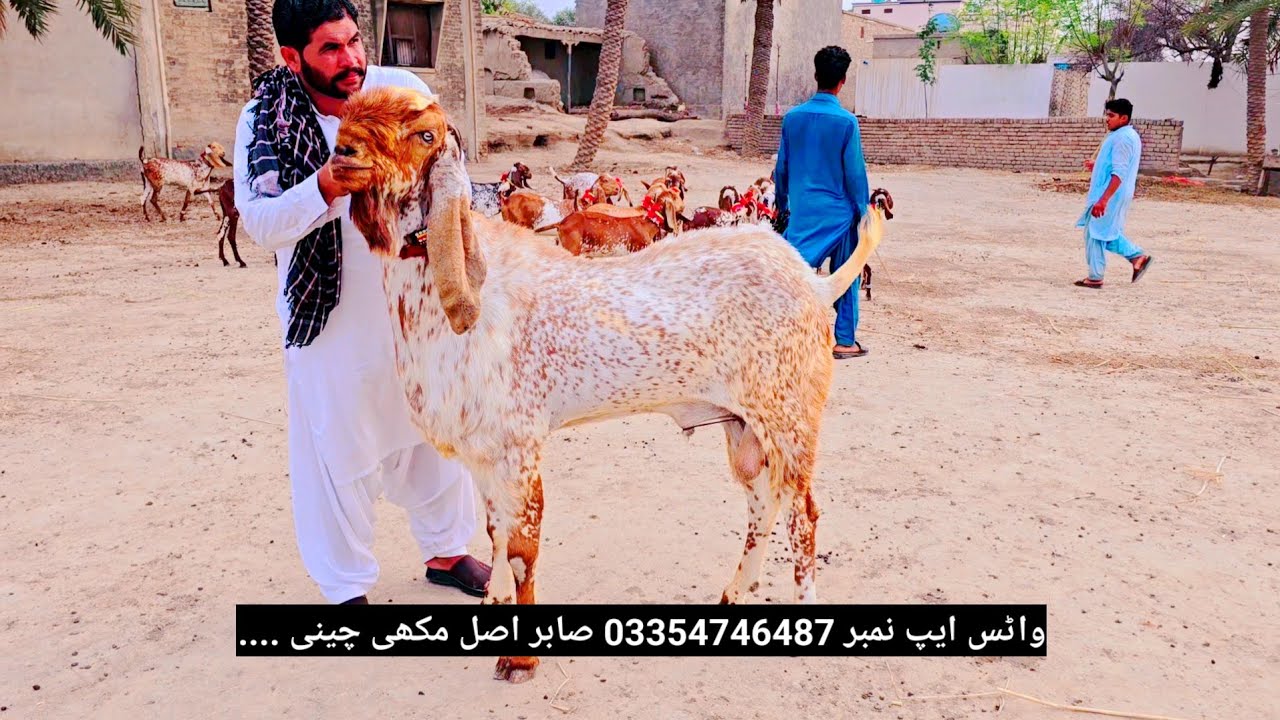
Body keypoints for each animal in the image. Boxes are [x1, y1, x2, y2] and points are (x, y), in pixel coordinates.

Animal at [328, 86, 885, 683]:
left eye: (424, 134)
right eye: (347, 118)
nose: (343, 154)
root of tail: (815, 283)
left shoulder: (520, 442)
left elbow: (521, 546)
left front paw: (519, 659)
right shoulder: (484, 449)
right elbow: (495, 534)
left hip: (791, 416)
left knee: (803, 513)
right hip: (744, 427)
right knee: (764, 502)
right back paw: (734, 595)